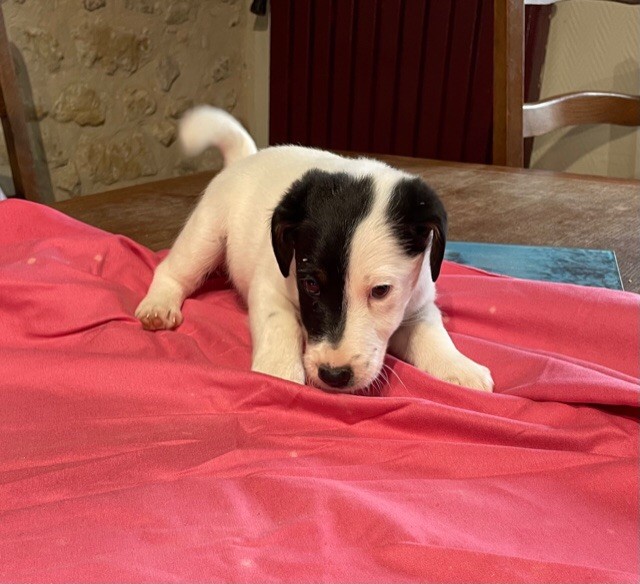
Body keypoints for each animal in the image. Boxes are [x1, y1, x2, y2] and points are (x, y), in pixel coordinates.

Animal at [135, 106, 493, 394]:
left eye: (381, 291)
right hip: (207, 234)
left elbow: (432, 334)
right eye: (310, 284)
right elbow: (281, 324)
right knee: (173, 269)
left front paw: (458, 366)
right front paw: (277, 372)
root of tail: (246, 157)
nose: (334, 375)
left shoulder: (419, 303)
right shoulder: (269, 289)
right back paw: (159, 303)